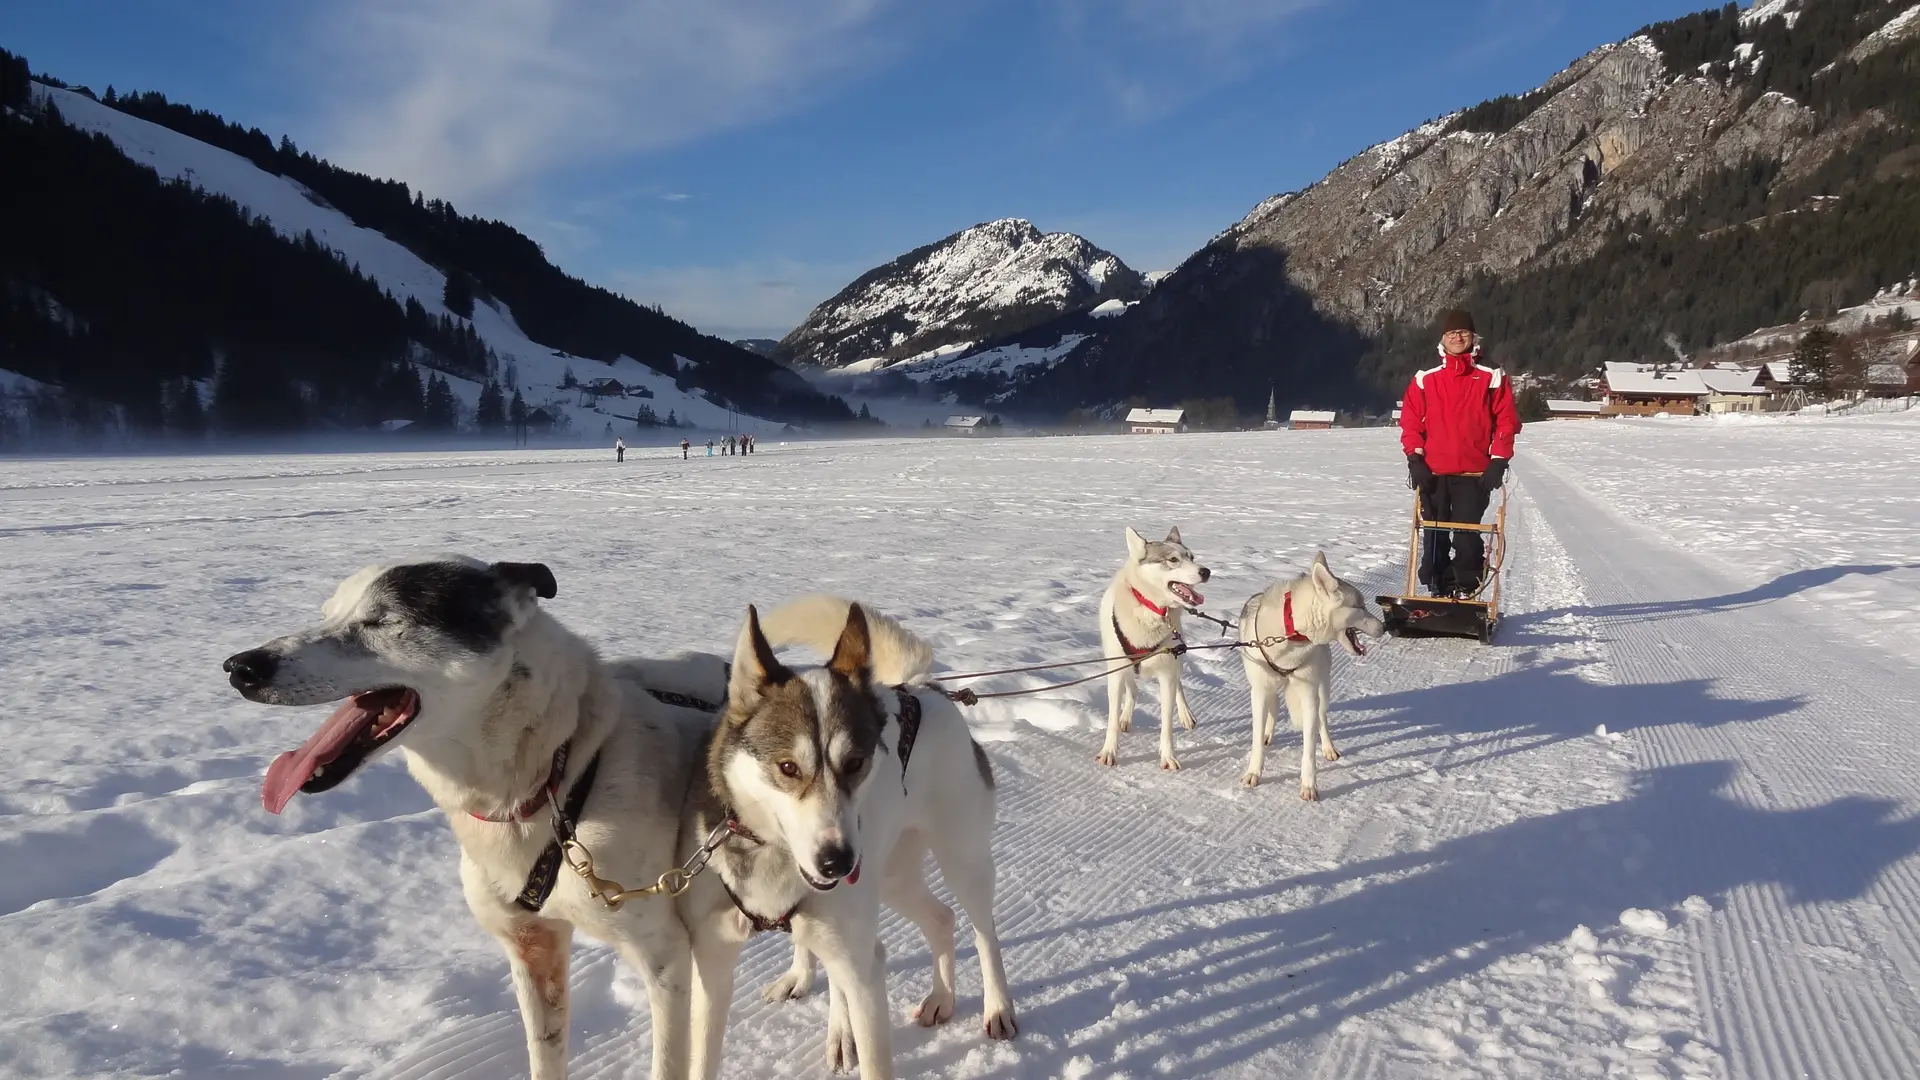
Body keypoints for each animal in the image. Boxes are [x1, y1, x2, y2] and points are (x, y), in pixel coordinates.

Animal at [217, 557, 718, 1076]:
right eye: (327, 614)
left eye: (381, 620)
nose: (241, 666)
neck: (554, 779)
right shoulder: (531, 947)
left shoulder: (664, 958)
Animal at [687, 591, 1029, 1076]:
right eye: (788, 767)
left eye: (856, 763)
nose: (838, 860)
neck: (777, 865)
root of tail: (922, 688)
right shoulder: (712, 967)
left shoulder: (862, 967)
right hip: (891, 880)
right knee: (940, 919)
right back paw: (937, 999)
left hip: (961, 861)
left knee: (983, 934)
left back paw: (997, 1007)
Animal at [1098, 522, 1213, 764]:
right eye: (1173, 559)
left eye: (1192, 557)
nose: (1206, 571)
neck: (1150, 609)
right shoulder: (1116, 672)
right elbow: (1112, 718)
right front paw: (1109, 751)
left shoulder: (1166, 674)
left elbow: (1167, 722)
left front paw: (1168, 756)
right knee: (1132, 689)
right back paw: (1125, 717)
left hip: (1177, 656)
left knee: (1178, 684)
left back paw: (1186, 714)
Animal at [1244, 549, 1382, 795]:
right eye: (1360, 607)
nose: (1384, 628)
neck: (1290, 633)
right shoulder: (1259, 691)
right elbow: (1257, 738)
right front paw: (1254, 772)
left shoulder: (1308, 694)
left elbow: (1309, 744)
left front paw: (1309, 784)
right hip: (1270, 689)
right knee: (1274, 709)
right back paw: (1269, 734)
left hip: (1322, 689)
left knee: (1322, 719)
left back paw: (1328, 748)